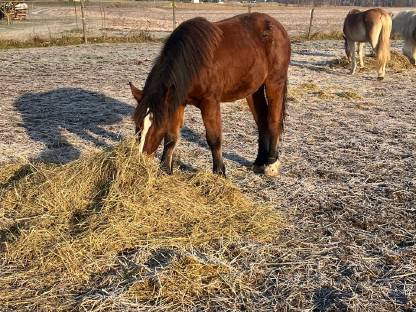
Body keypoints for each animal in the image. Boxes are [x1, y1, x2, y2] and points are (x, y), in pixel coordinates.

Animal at [129, 12, 290, 176]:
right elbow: (171, 136)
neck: (194, 61)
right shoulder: (177, 101)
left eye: (157, 124)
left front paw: (219, 172)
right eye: (138, 124)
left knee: (273, 120)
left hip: (274, 82)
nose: (141, 160)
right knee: (262, 121)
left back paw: (271, 163)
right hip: (253, 90)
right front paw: (165, 169)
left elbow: (214, 138)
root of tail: (277, 26)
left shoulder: (210, 102)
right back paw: (259, 162)